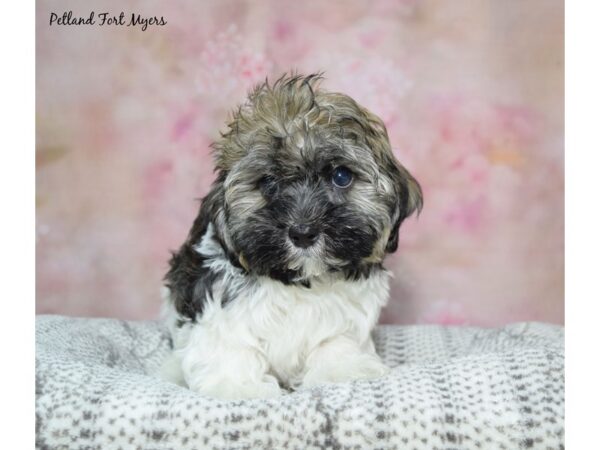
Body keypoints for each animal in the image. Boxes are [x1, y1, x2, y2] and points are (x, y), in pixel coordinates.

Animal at [159, 74, 422, 400]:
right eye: (268, 182)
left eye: (341, 176)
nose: (303, 233)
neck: (300, 280)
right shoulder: (215, 295)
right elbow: (229, 341)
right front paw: (237, 385)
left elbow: (334, 339)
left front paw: (340, 370)